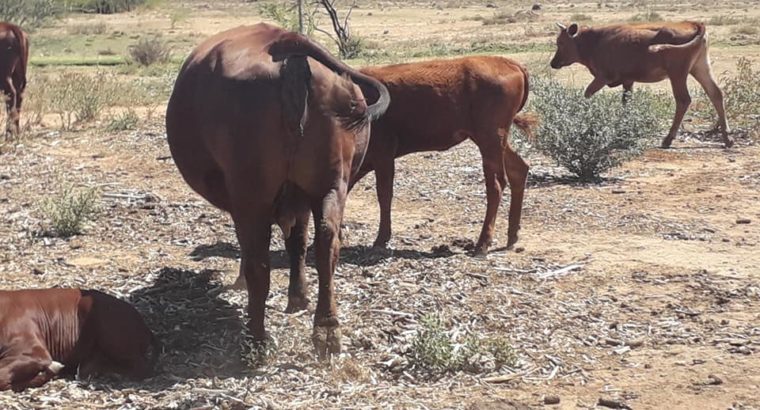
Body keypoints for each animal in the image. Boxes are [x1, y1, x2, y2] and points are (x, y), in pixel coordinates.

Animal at [165, 23, 389, 359]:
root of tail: (285, 43)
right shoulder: (301, 200)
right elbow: (298, 241)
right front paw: (299, 297)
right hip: (330, 187)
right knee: (327, 244)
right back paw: (327, 330)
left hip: (252, 198)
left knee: (259, 263)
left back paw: (256, 338)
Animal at [350, 56, 535, 255]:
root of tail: (508, 62)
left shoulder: (383, 155)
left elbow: (384, 194)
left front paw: (381, 239)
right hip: (490, 140)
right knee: (518, 170)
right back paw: (512, 236)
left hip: (490, 139)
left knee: (496, 185)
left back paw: (482, 244)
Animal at [550, 21, 733, 149]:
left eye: (561, 43)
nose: (553, 63)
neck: (595, 41)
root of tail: (694, 24)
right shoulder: (628, 80)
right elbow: (626, 102)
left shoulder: (603, 77)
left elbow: (587, 93)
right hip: (701, 68)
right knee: (716, 93)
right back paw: (727, 138)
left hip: (678, 74)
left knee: (683, 100)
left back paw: (668, 139)